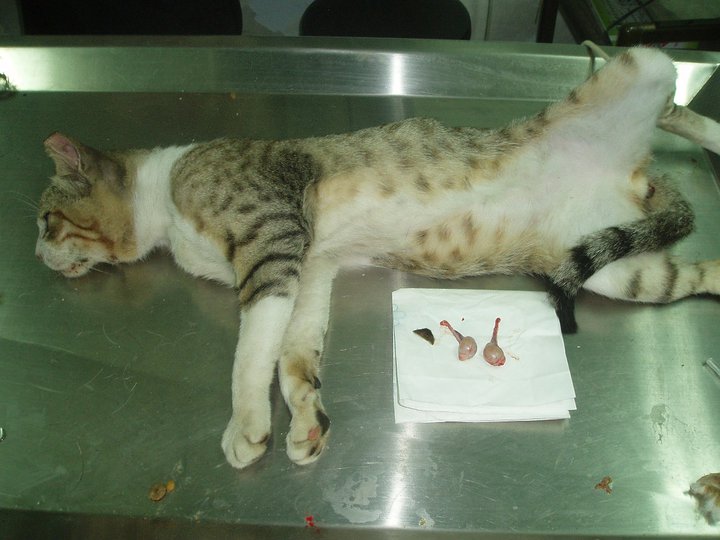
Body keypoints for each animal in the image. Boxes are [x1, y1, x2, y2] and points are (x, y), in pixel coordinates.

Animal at [35, 46, 720, 470]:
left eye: (45, 220)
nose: (38, 254)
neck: (166, 195)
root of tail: (636, 180)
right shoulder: (309, 266)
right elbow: (294, 352)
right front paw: (306, 420)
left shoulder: (273, 238)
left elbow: (251, 349)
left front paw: (247, 424)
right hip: (620, 269)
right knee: (691, 271)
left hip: (643, 68)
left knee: (678, 105)